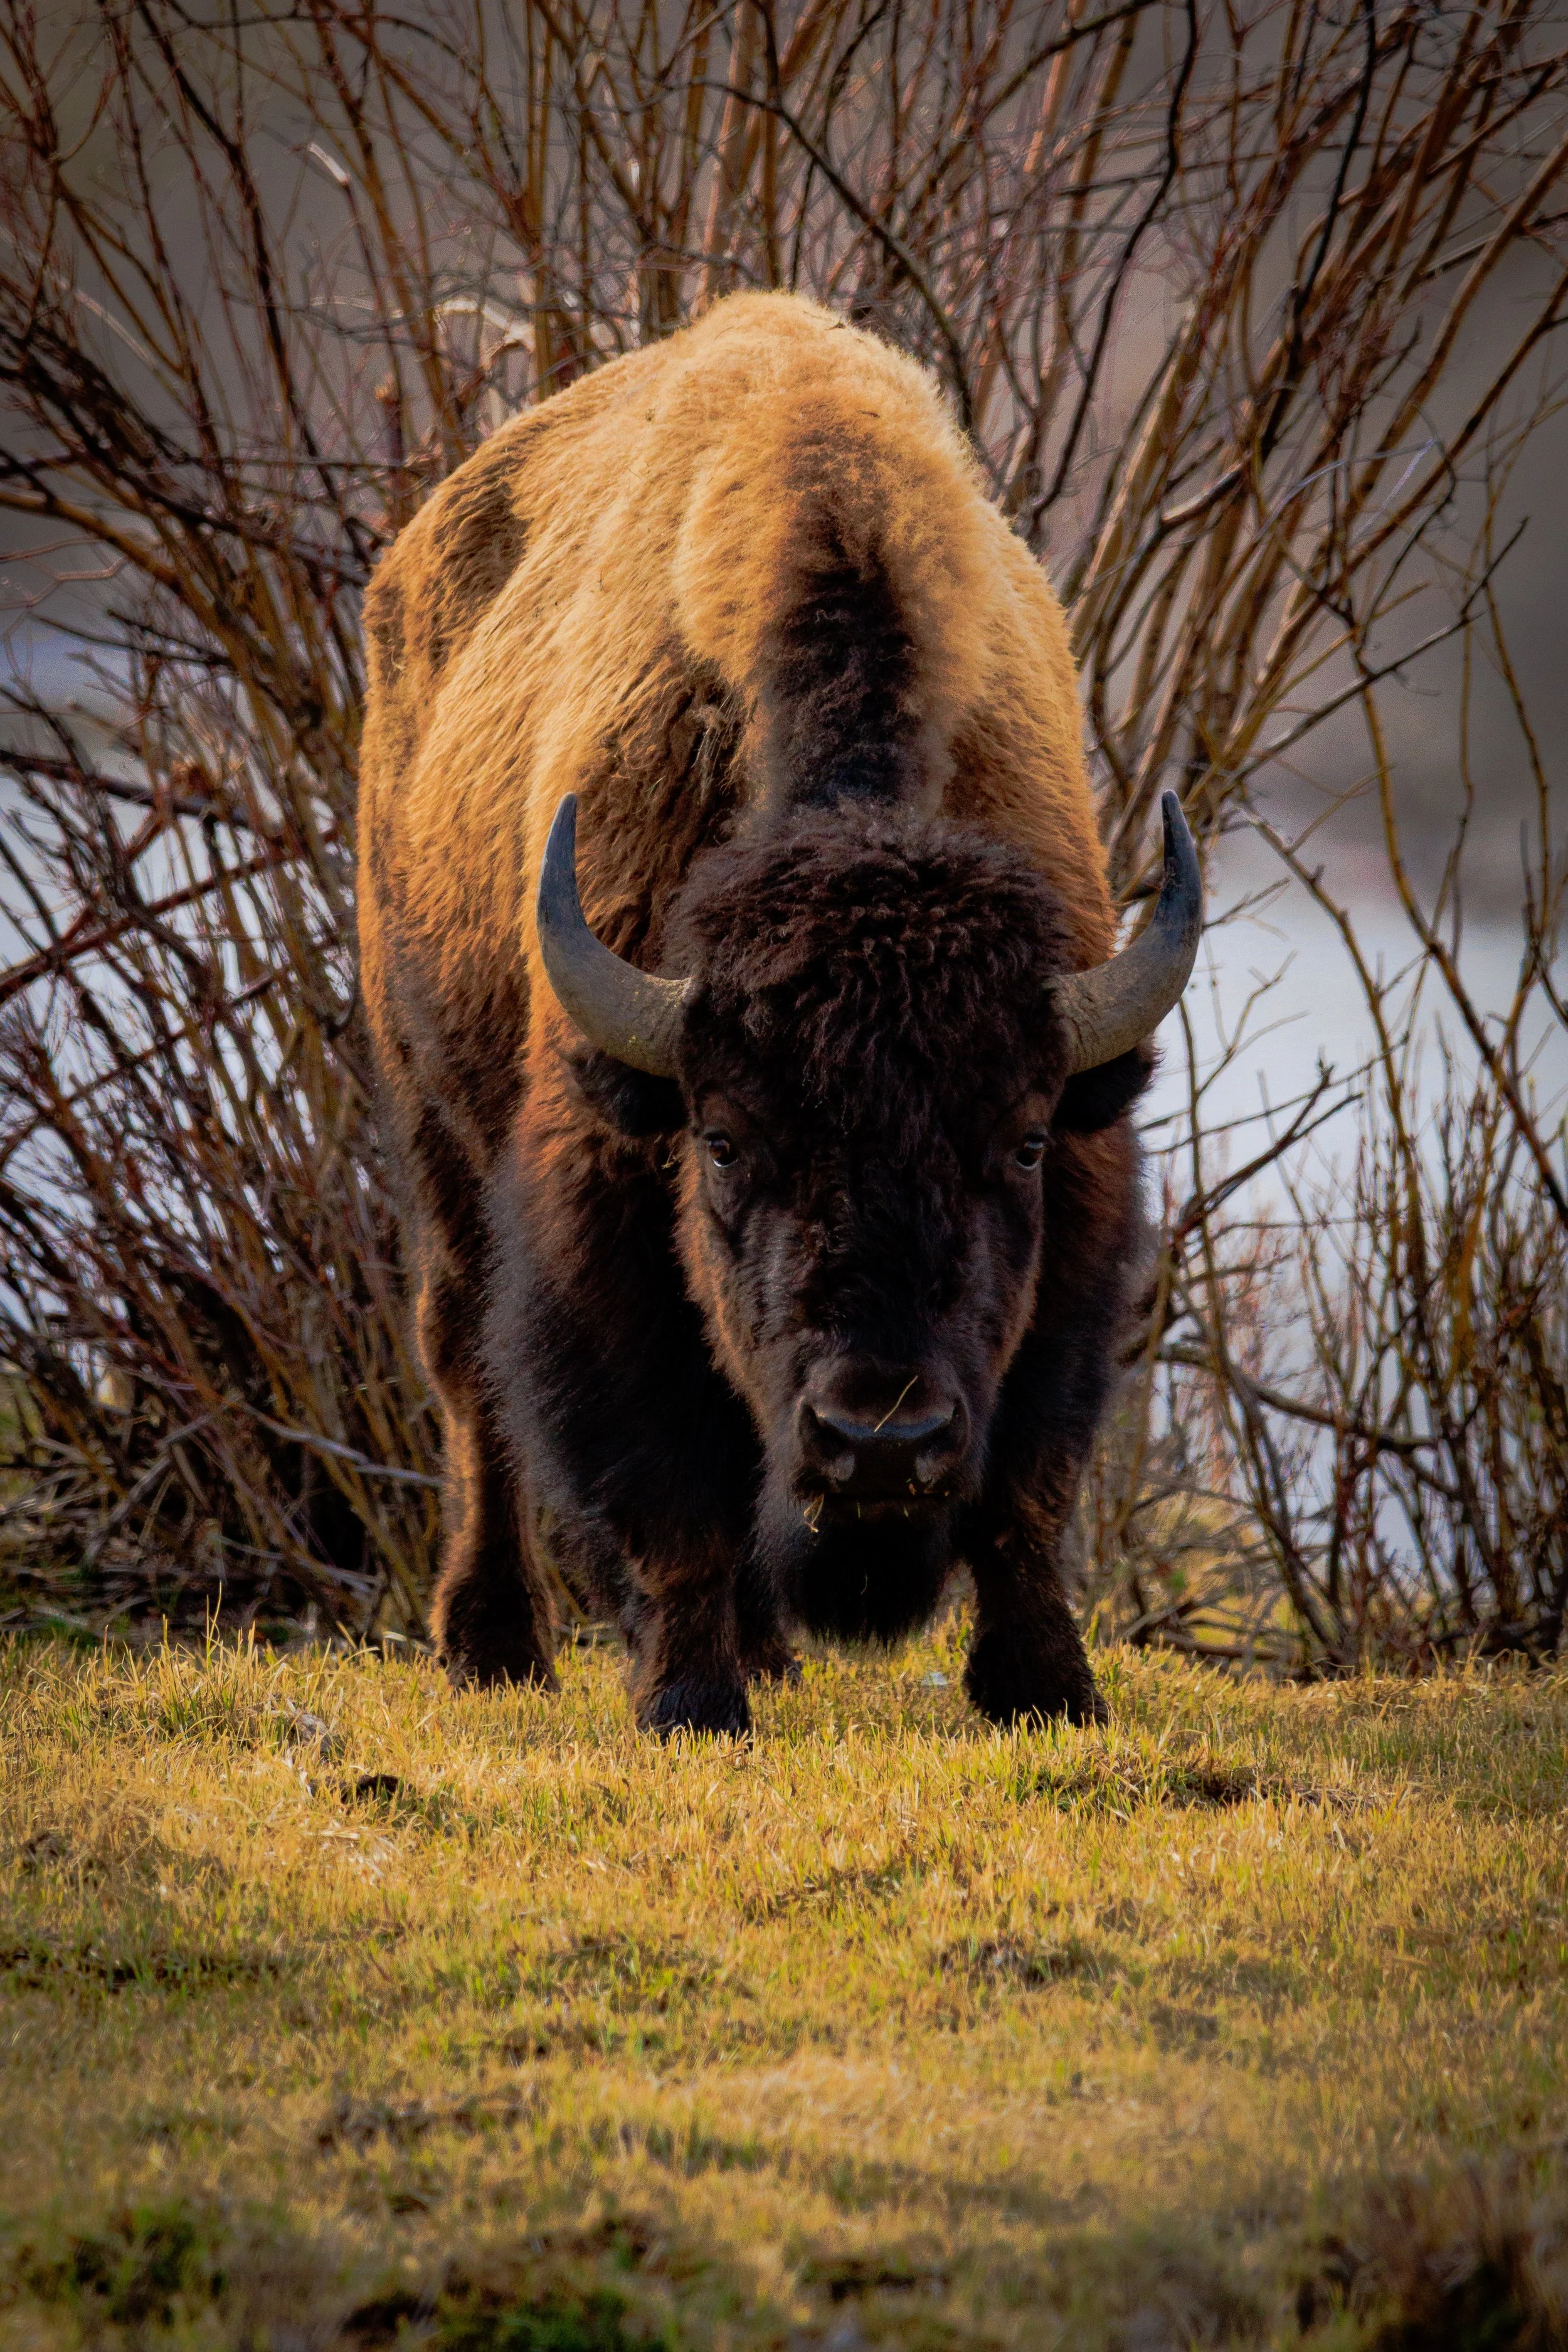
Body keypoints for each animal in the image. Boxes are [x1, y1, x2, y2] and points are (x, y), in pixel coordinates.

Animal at [358, 291, 1200, 1735]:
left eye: (1023, 1142)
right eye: (724, 1144)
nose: (881, 1442)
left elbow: (1026, 1485)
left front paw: (1045, 1688)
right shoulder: (600, 1179)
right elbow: (664, 1472)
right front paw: (688, 1699)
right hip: (427, 1104)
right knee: (464, 1356)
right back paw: (493, 1640)